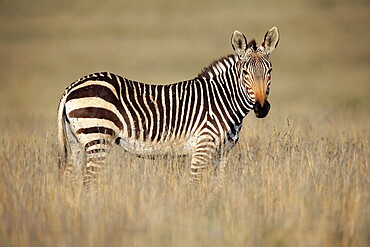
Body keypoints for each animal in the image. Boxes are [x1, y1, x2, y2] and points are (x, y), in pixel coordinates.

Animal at [56, 26, 278, 187]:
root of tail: (72, 86)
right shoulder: (203, 145)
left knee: (71, 178)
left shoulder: (223, 152)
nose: (261, 108)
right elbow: (195, 184)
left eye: (270, 71)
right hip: (97, 138)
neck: (222, 100)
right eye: (244, 73)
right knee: (88, 182)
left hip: (77, 142)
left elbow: (218, 184)